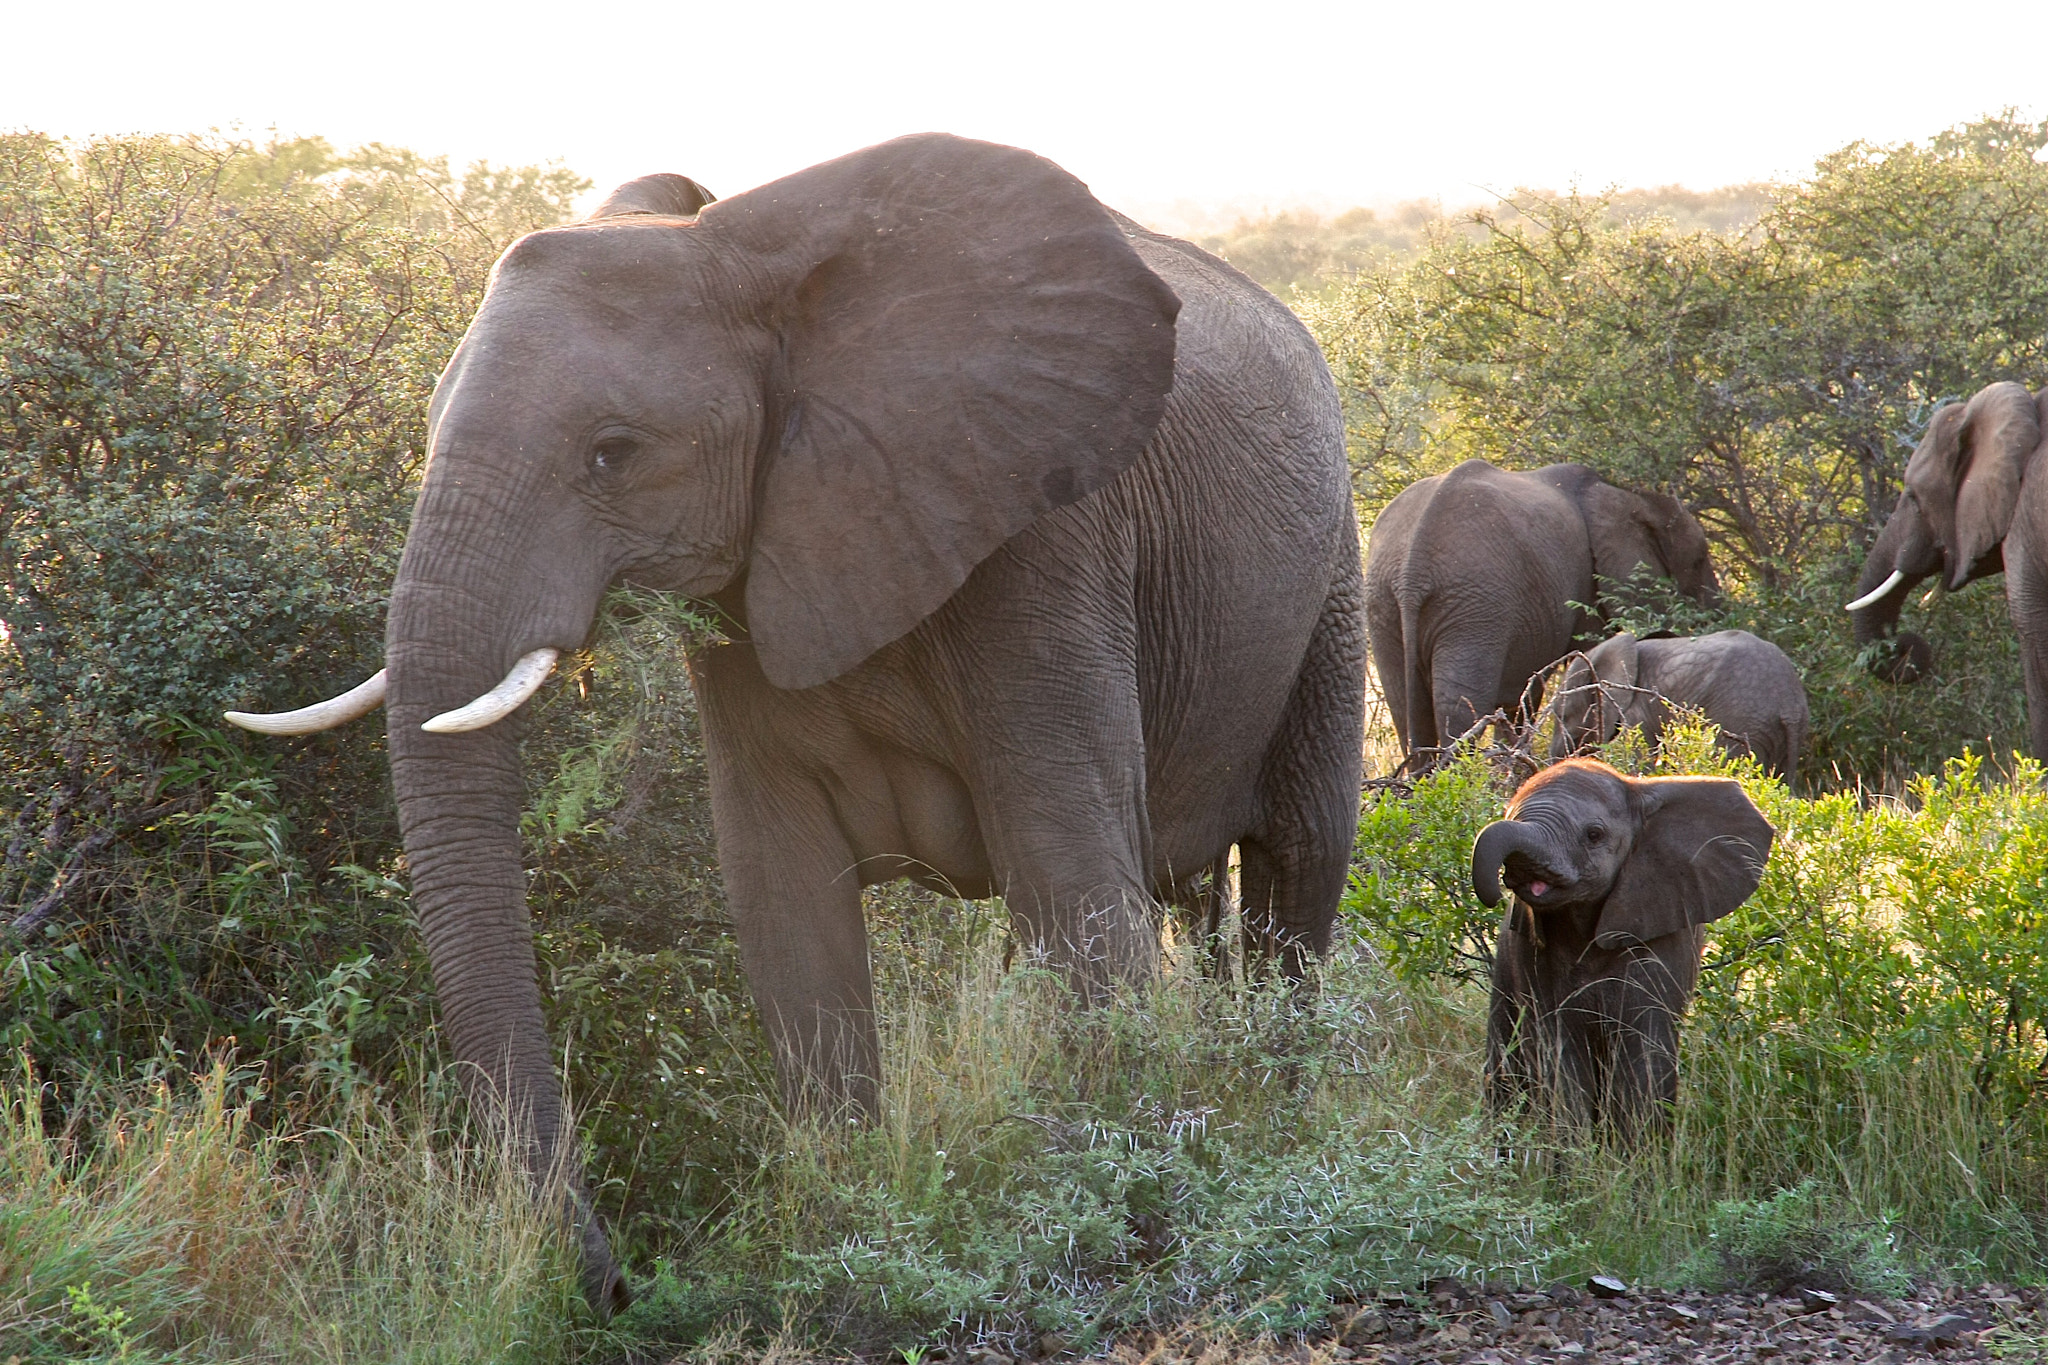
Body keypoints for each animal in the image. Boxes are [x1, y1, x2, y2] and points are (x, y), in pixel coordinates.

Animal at [221, 134, 1367, 1308]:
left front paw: (1114, 1194)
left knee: (1297, 858)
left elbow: (1070, 875)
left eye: (613, 452)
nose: (613, 1284)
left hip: (1330, 572)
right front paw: (845, 1210)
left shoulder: (1045, 545)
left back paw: (1273, 1104)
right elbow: (783, 902)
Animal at [1365, 460, 1717, 766]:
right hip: (1474, 607)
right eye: (1699, 560)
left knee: (1408, 711)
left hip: (1385, 606)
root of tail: (1411, 571)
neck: (1631, 496)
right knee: (1460, 710)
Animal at [1471, 757, 1773, 1139]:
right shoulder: (1529, 952)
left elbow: (1643, 1048)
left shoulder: (1658, 938)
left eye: (1594, 835)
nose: (1498, 890)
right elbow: (1557, 1048)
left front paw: (1637, 1155)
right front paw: (1572, 1154)